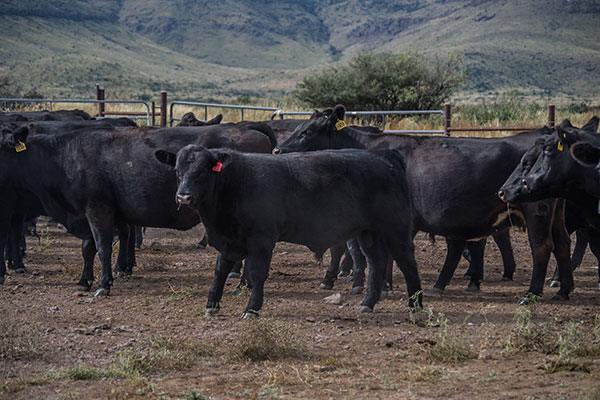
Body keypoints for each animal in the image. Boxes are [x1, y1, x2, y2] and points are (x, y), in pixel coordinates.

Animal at [158, 145, 422, 318]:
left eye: (202, 171)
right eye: (178, 171)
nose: (184, 197)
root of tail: (383, 154)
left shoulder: (262, 240)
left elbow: (256, 274)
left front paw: (252, 308)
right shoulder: (230, 239)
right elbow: (220, 270)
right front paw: (212, 304)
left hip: (395, 229)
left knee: (407, 262)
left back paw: (415, 305)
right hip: (369, 232)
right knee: (376, 262)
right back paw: (368, 302)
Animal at [276, 104, 576, 304]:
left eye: (308, 131)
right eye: (298, 127)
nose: (278, 150)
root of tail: (542, 133)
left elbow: (381, 254)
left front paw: (380, 287)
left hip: (537, 211)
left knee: (542, 247)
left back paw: (532, 293)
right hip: (556, 215)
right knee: (562, 243)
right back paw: (563, 290)